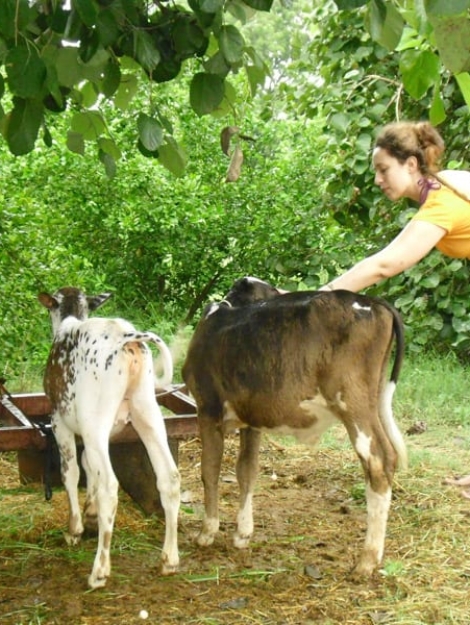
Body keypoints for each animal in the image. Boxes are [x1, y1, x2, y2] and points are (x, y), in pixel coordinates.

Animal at [184, 276, 408, 576]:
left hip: (352, 403)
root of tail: (374, 302)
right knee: (387, 459)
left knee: (378, 462)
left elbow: (209, 470)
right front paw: (242, 533)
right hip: (374, 401)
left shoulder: (207, 407)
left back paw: (367, 560)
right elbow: (246, 470)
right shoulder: (251, 418)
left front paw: (207, 532)